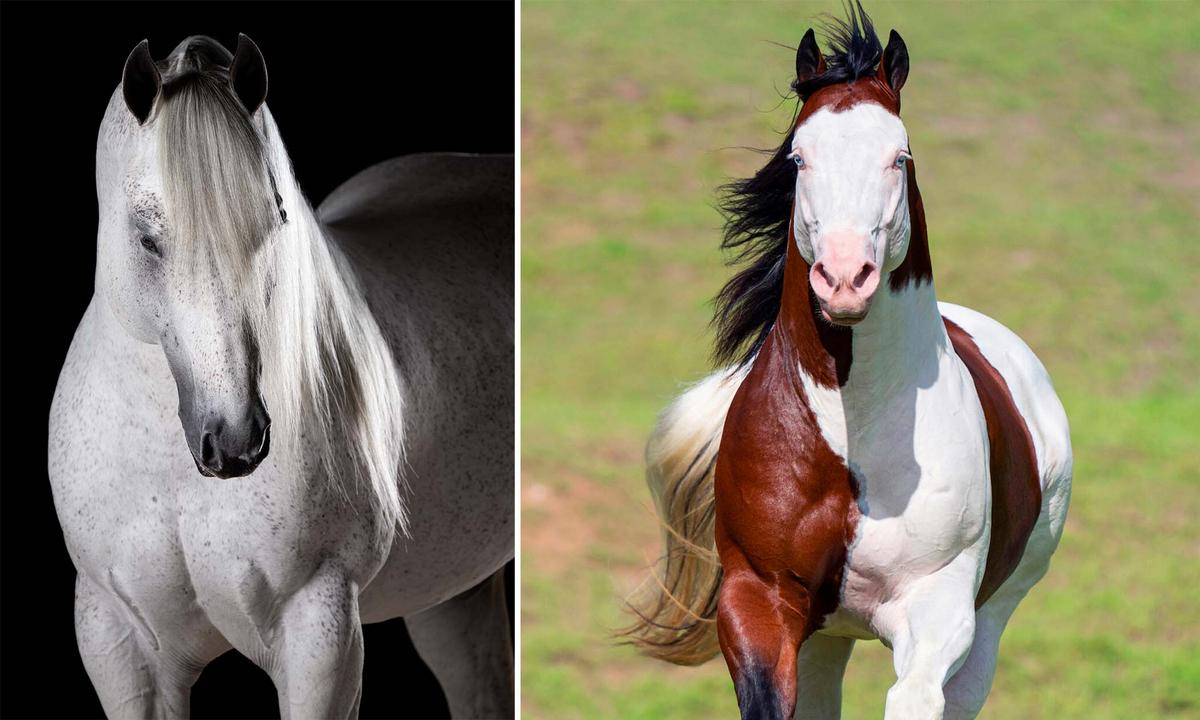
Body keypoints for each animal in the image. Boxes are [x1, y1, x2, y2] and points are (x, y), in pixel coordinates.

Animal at [48, 35, 513, 719]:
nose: (235, 440)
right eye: (148, 237)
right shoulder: (119, 637)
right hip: (454, 590)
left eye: (274, 218)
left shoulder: (318, 633)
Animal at [625, 7, 1072, 719]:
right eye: (799, 156)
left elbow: (913, 697)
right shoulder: (760, 599)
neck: (851, 442)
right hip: (826, 637)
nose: (843, 278)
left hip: (993, 617)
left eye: (900, 155)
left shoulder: (937, 607)